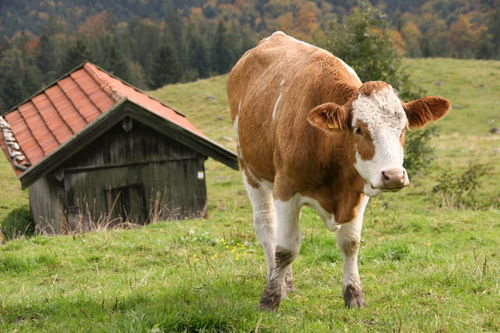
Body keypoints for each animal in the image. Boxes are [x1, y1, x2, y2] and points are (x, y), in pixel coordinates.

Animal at [229, 31, 452, 308]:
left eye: (403, 129)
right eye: (358, 129)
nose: (393, 176)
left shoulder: (358, 191)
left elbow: (350, 244)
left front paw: (353, 294)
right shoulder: (286, 188)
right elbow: (285, 249)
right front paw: (270, 298)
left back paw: (287, 283)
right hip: (251, 171)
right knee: (268, 229)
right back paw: (276, 280)